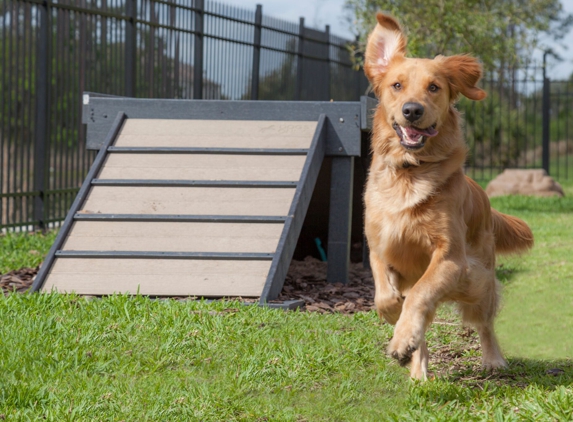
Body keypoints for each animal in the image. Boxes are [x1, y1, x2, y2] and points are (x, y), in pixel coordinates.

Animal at [362, 14, 532, 380]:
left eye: (434, 87)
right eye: (396, 85)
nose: (412, 110)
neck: (410, 171)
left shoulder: (450, 257)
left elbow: (420, 295)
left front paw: (401, 337)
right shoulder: (379, 245)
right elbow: (385, 293)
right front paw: (396, 321)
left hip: (478, 279)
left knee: (484, 320)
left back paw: (493, 360)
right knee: (424, 321)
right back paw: (418, 368)